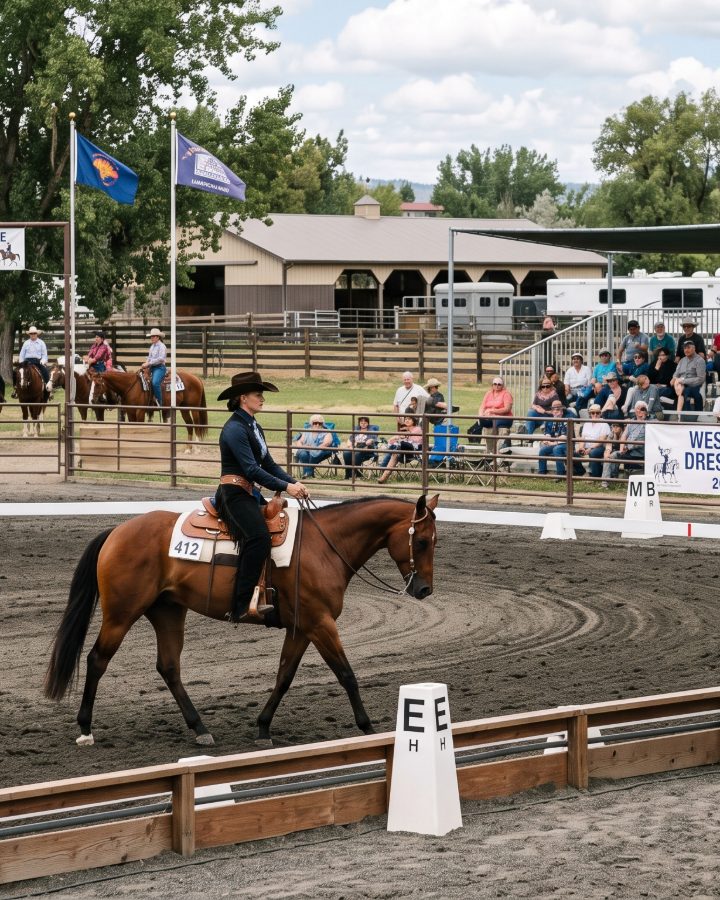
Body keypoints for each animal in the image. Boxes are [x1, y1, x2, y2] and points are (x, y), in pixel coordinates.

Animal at [44, 494, 439, 748]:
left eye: (434, 541)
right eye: (420, 541)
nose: (424, 589)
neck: (324, 546)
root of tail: (117, 531)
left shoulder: (302, 627)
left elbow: (284, 676)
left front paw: (263, 727)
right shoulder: (320, 623)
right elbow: (347, 674)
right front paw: (369, 728)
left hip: (168, 611)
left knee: (169, 667)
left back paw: (200, 728)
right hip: (121, 613)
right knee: (97, 659)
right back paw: (85, 729)